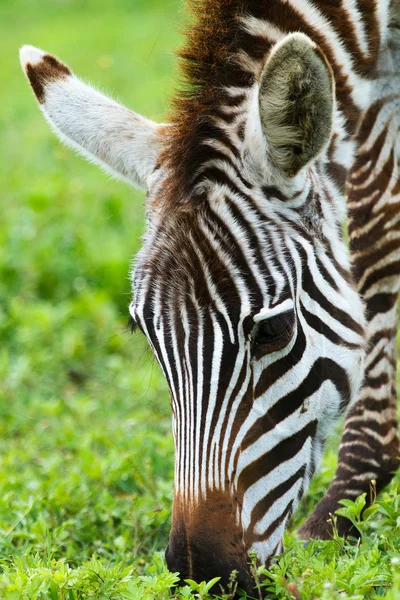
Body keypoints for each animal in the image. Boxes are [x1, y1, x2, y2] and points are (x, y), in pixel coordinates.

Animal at [19, 1, 400, 596]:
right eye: (145, 334)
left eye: (273, 331)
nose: (205, 575)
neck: (374, 23)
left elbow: (378, 238)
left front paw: (346, 501)